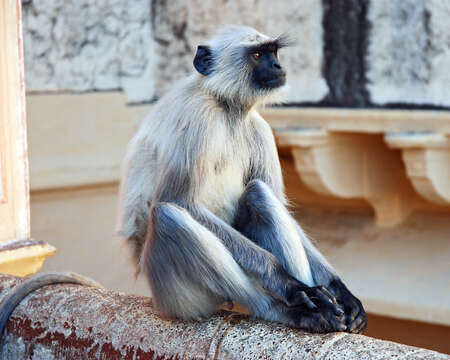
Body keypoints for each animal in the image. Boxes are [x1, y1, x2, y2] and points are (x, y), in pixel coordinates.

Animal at [118, 26, 366, 334]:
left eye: (273, 52)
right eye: (257, 54)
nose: (277, 66)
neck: (225, 106)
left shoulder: (259, 128)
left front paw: (339, 289)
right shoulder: (198, 117)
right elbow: (179, 201)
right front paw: (290, 285)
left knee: (259, 193)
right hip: (174, 293)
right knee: (168, 215)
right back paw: (285, 308)